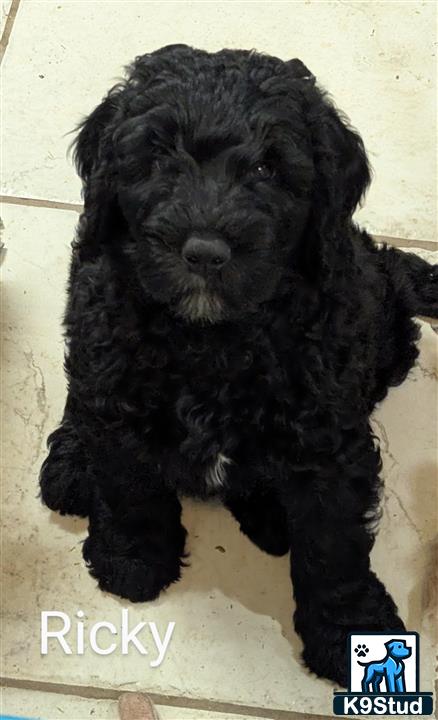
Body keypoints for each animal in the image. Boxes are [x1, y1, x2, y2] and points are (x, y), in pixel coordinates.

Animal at [39, 45, 436, 688]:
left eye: (269, 169)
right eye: (157, 156)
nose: (204, 252)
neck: (213, 339)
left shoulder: (329, 439)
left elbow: (335, 541)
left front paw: (349, 630)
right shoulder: (117, 381)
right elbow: (128, 482)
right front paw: (133, 558)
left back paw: (269, 514)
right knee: (83, 397)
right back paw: (72, 460)